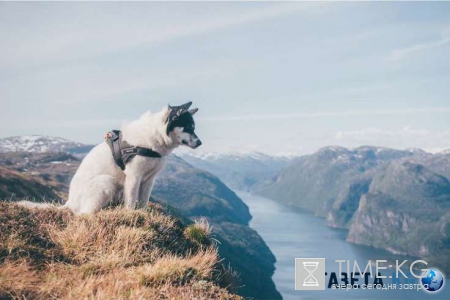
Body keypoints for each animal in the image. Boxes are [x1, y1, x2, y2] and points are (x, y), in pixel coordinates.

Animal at [21, 102, 200, 214]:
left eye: (193, 128)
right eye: (188, 127)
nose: (200, 142)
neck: (154, 137)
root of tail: (69, 202)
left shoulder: (149, 180)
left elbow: (143, 202)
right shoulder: (134, 177)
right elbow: (131, 201)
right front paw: (131, 214)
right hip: (107, 182)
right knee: (84, 214)